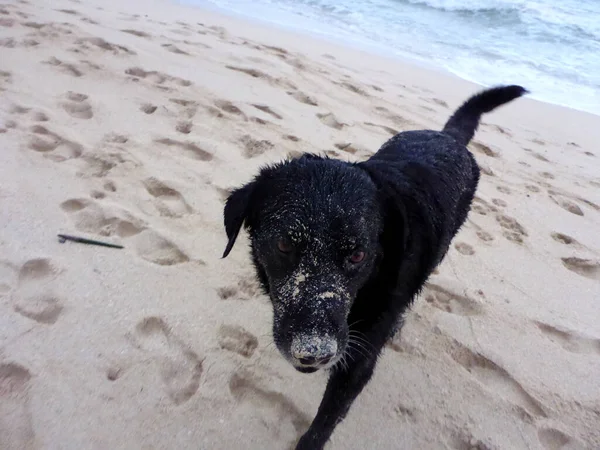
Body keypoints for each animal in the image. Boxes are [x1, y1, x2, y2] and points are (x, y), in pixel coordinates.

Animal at [223, 85, 528, 450]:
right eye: (284, 245)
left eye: (358, 255)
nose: (315, 352)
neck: (368, 287)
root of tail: (448, 136)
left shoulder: (358, 360)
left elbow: (324, 423)